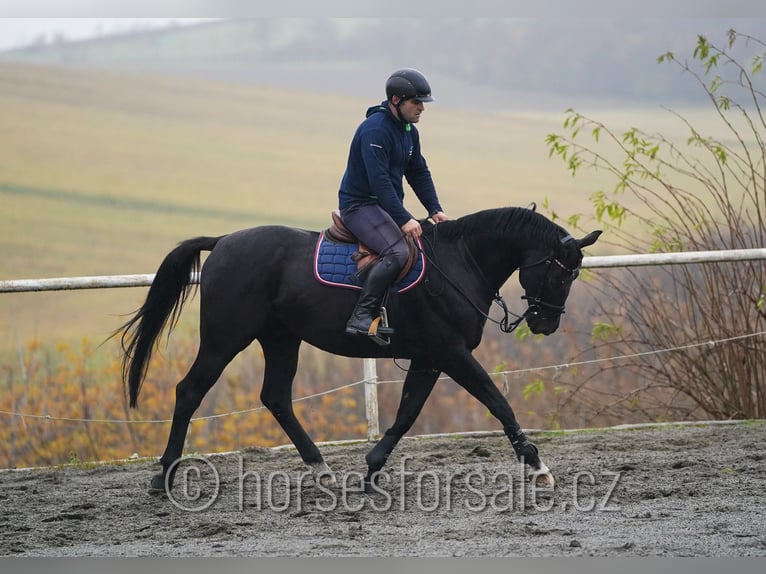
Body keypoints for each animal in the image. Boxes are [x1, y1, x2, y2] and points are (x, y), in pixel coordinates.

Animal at [116, 206, 601, 493]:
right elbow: (497, 402)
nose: (546, 324)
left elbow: (406, 413)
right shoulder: (451, 353)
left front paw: (372, 469)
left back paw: (321, 468)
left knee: (275, 397)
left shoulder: (428, 358)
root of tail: (223, 242)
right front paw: (536, 465)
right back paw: (164, 476)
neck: (458, 263)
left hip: (281, 338)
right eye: (561, 273)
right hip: (225, 339)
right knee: (189, 392)